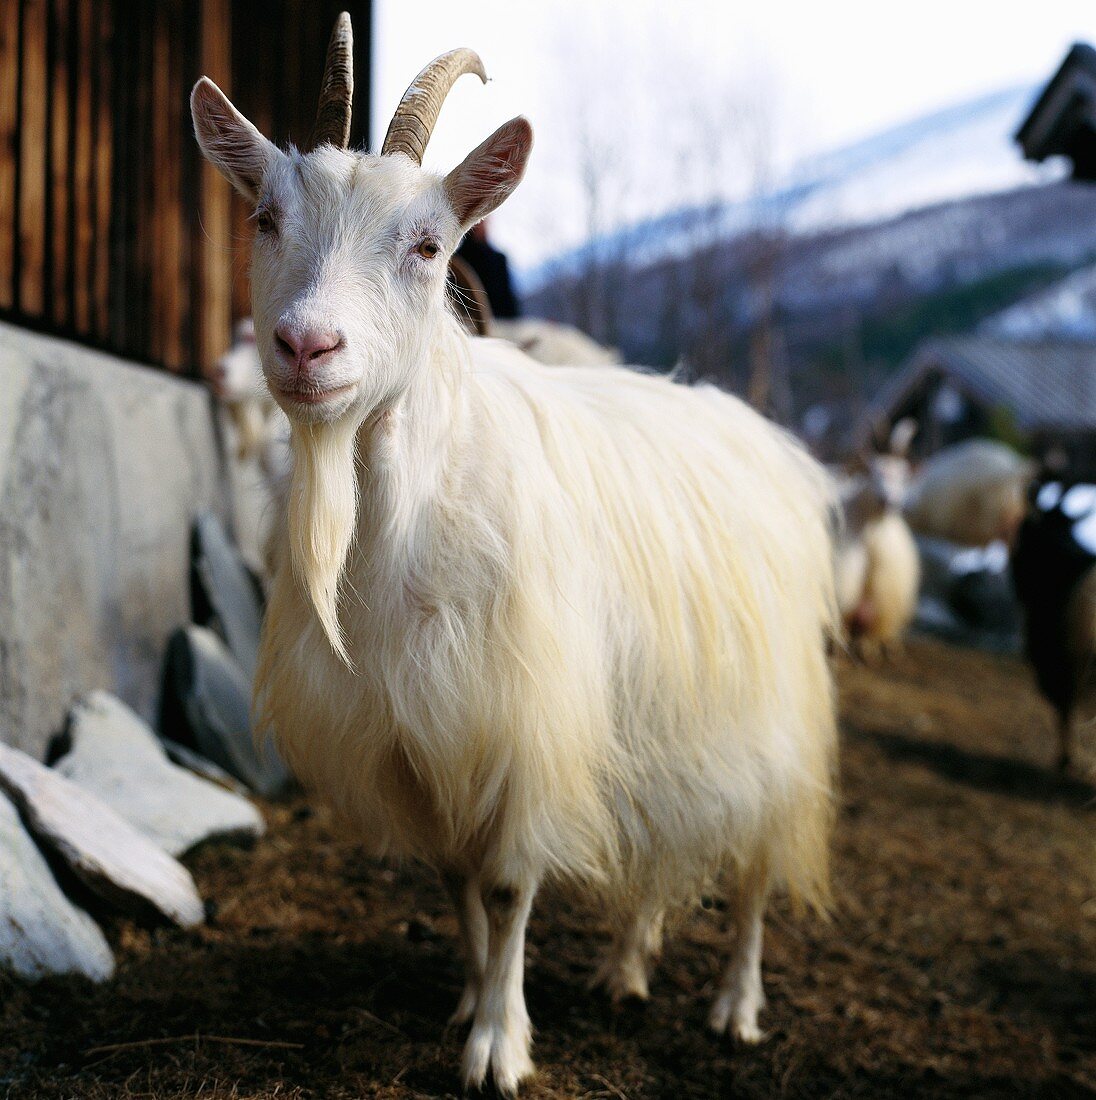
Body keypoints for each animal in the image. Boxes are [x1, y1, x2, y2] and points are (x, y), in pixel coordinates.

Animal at [190, 15, 840, 1091]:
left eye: (427, 245)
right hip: (647, 713)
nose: (305, 346)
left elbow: (506, 884)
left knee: (752, 861)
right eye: (265, 218)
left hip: (764, 711)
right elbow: (457, 881)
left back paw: (735, 1005)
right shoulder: (417, 731)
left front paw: (498, 1042)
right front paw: (467, 998)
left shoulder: (523, 718)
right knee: (653, 844)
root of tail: (767, 441)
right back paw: (625, 966)